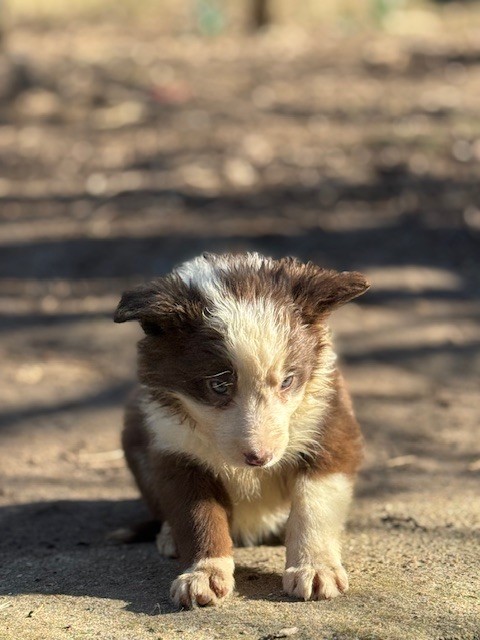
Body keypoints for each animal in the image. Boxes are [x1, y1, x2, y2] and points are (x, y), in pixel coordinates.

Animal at [114, 252, 370, 608]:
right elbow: (198, 517)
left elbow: (314, 505)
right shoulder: (175, 449)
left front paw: (315, 568)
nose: (259, 458)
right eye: (219, 385)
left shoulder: (330, 426)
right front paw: (204, 574)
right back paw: (168, 537)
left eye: (288, 380)